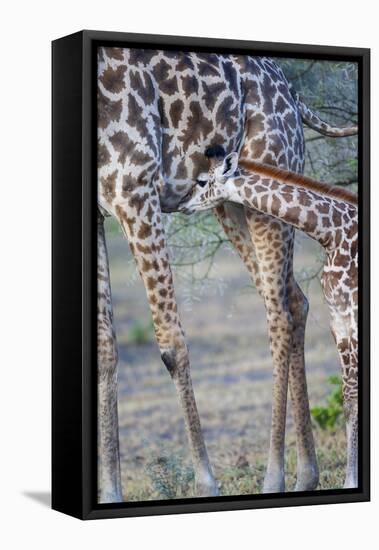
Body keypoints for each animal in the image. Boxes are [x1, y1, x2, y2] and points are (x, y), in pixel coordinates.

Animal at [180, 149, 360, 490]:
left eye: (202, 181)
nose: (182, 204)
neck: (333, 232)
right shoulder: (339, 320)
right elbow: (349, 399)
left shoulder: (354, 315)